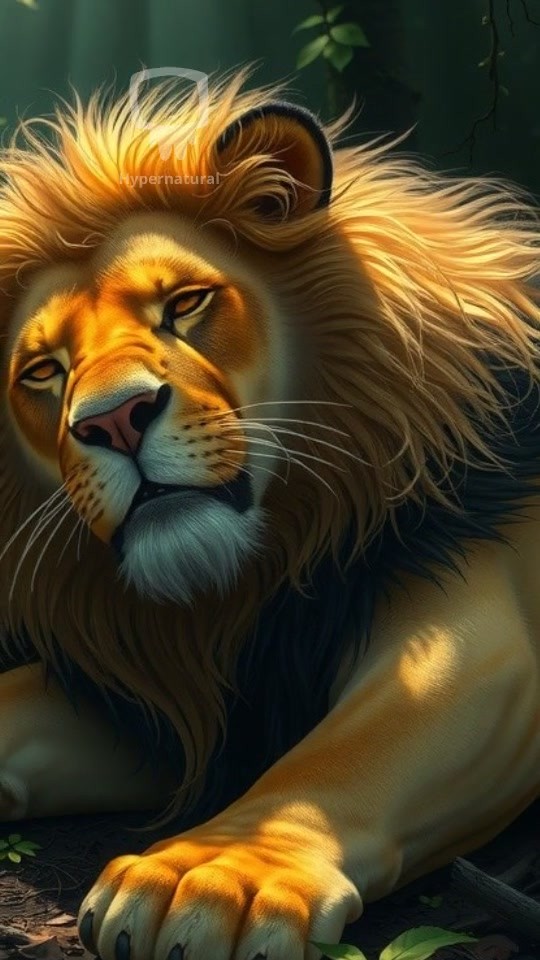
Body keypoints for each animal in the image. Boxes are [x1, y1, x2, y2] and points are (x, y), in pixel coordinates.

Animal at [0, 68, 539, 960]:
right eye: (43, 370)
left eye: (185, 303)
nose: (115, 421)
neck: (245, 587)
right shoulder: (173, 706)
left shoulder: (477, 628)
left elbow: (346, 756)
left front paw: (209, 879)